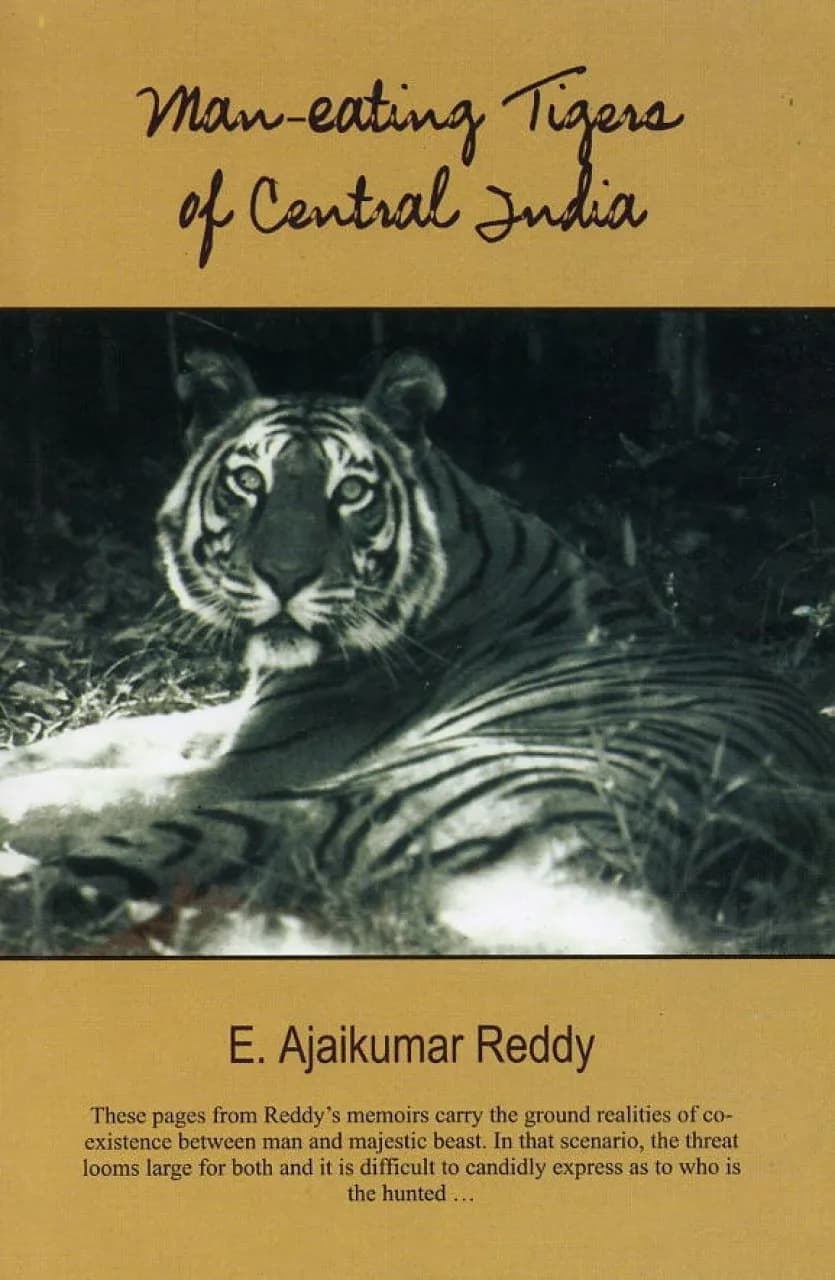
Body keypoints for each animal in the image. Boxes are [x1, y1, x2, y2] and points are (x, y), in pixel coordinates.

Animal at [1, 348, 834, 955]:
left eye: (349, 492)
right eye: (247, 482)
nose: (283, 577)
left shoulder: (262, 761)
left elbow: (91, 786)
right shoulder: (234, 719)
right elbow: (97, 739)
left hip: (324, 804)